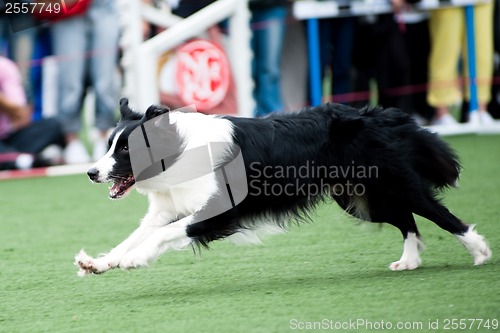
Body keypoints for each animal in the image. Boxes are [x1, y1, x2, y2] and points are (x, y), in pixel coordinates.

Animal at [76, 98, 490, 274]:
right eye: (110, 143)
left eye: (125, 149)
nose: (92, 173)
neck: (177, 152)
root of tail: (378, 113)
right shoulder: (167, 207)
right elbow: (136, 234)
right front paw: (100, 262)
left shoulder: (219, 210)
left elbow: (163, 235)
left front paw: (134, 260)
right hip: (359, 197)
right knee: (407, 219)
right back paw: (409, 261)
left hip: (392, 181)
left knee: (438, 212)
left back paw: (479, 252)